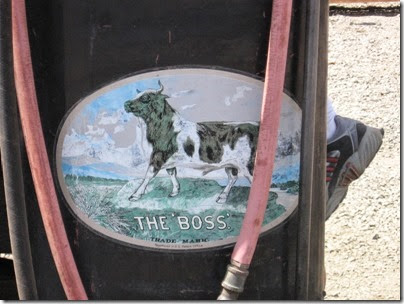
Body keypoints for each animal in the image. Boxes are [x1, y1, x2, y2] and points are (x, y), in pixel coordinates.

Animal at [122, 81, 258, 204]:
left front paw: (135, 195)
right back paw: (222, 197)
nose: (125, 103)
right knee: (232, 177)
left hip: (248, 165)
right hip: (231, 163)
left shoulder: (158, 156)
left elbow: (148, 176)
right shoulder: (169, 159)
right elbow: (172, 173)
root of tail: (254, 124)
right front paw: (175, 191)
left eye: (145, 98)